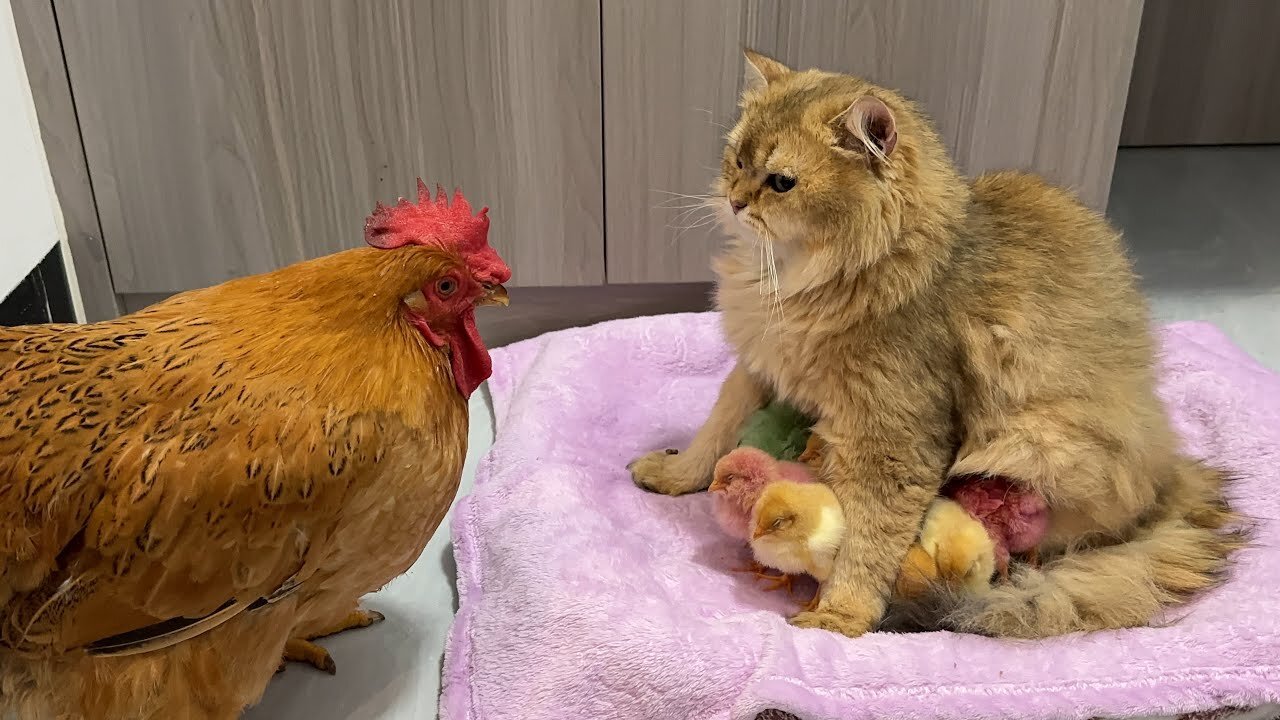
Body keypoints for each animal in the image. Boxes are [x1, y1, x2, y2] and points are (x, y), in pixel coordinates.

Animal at [624, 47, 1244, 635]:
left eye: (781, 182)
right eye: (737, 160)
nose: (734, 200)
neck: (803, 275)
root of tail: (1171, 476)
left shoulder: (894, 434)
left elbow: (867, 536)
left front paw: (842, 614)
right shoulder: (758, 365)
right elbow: (716, 429)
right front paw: (677, 474)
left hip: (1037, 445)